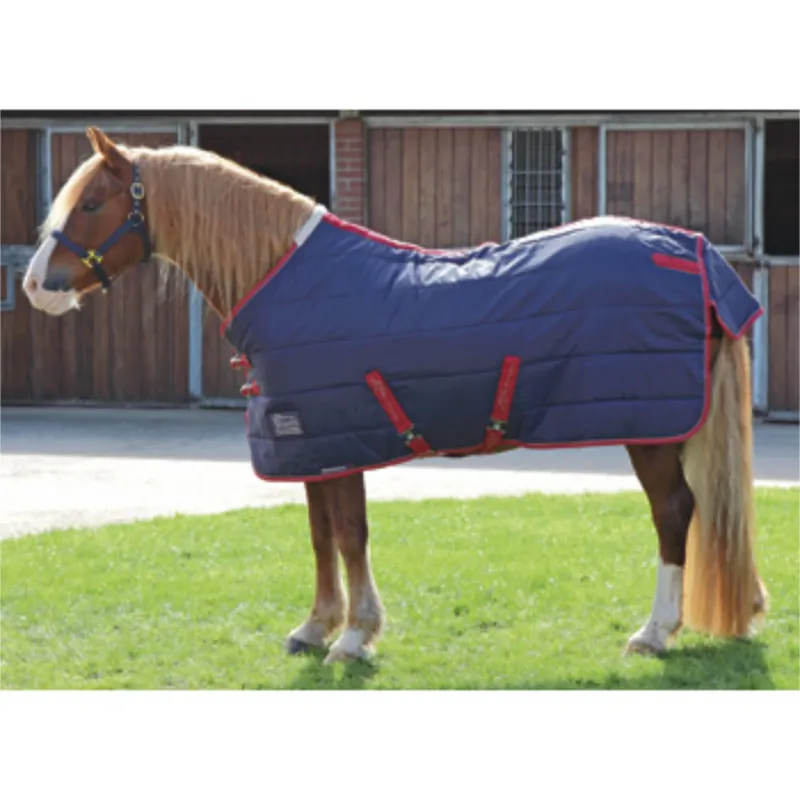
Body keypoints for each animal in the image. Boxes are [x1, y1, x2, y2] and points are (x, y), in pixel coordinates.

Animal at [22, 126, 768, 665]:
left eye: (92, 204)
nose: (36, 286)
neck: (287, 279)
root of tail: (690, 251)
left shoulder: (342, 440)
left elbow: (350, 534)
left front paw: (354, 638)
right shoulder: (311, 443)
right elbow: (321, 534)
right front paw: (315, 628)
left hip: (650, 429)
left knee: (675, 513)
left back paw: (654, 632)